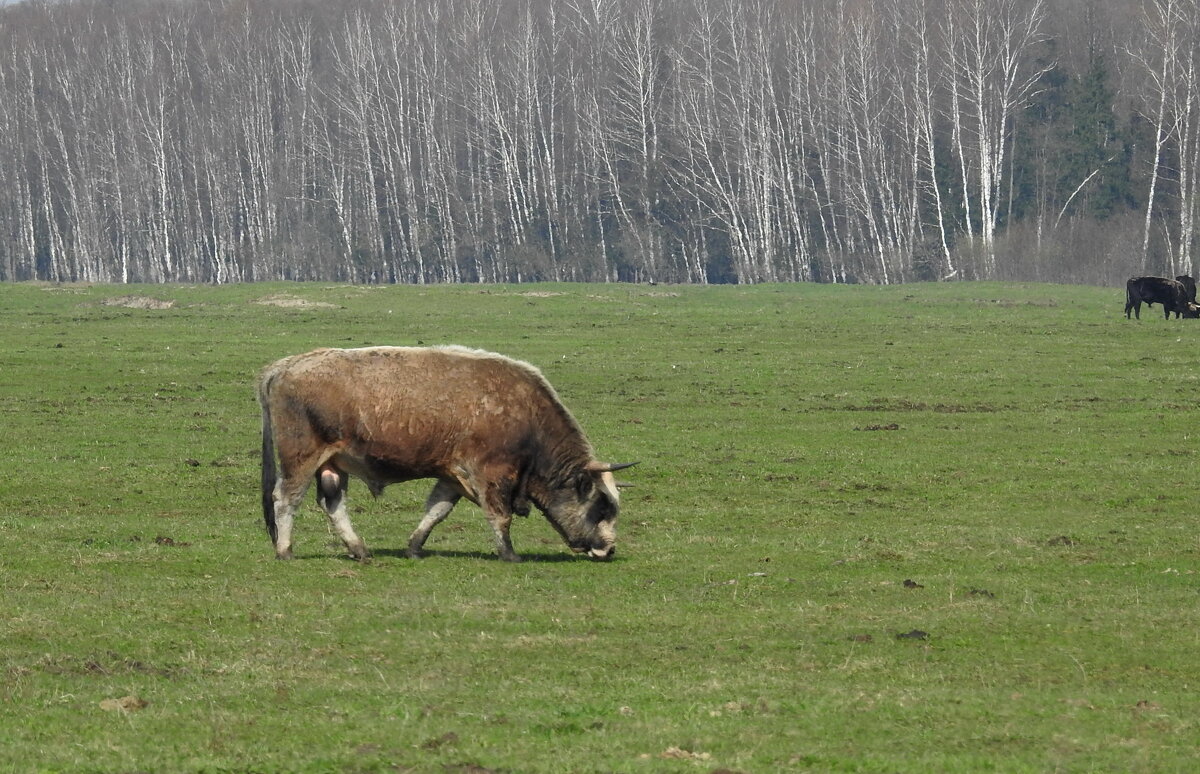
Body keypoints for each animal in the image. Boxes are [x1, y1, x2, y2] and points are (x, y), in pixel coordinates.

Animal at [258, 345, 633, 561]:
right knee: (286, 499)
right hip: (301, 459)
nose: (609, 548)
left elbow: (436, 511)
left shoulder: (451, 476)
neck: (527, 415)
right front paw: (509, 554)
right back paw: (285, 551)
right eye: (602, 505)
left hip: (333, 466)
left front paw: (414, 547)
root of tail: (283, 366)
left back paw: (359, 550)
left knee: (333, 504)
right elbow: (500, 516)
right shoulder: (492, 475)